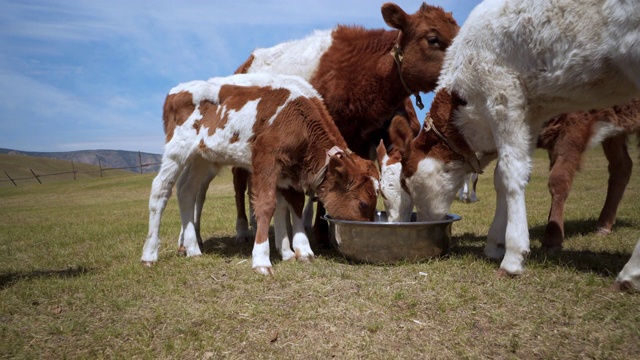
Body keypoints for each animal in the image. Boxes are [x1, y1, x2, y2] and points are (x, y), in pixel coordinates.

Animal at [141, 74, 380, 276]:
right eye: (362, 203)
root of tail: (176, 90)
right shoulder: (266, 158)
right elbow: (266, 204)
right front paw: (262, 259)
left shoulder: (288, 171)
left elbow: (292, 204)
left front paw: (298, 251)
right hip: (177, 148)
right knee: (160, 190)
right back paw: (150, 254)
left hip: (201, 156)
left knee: (186, 191)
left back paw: (192, 249)